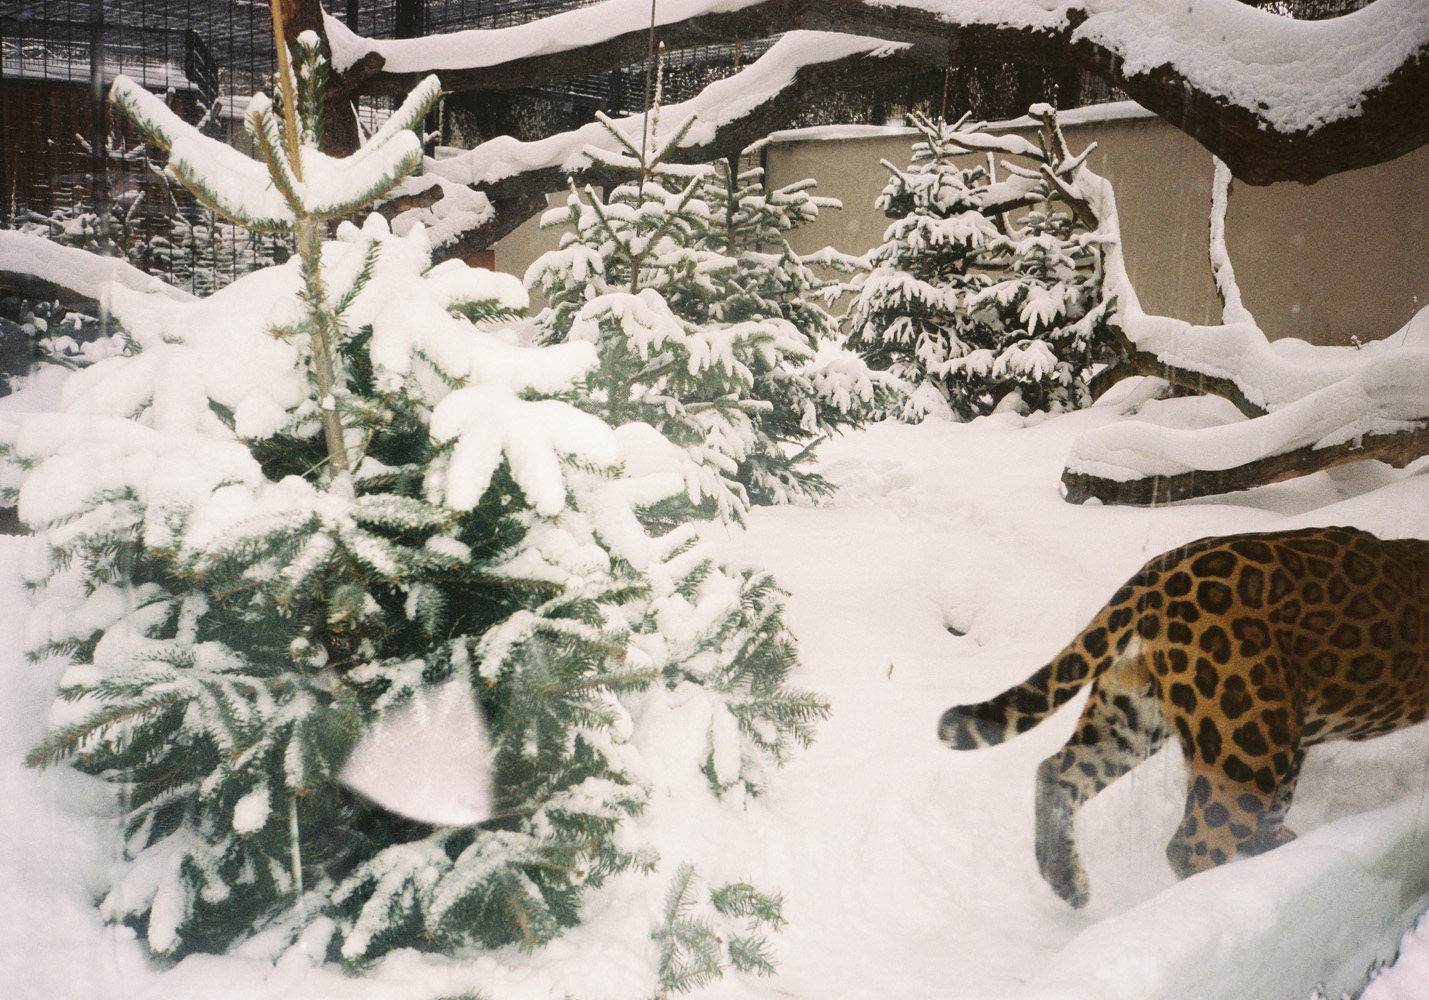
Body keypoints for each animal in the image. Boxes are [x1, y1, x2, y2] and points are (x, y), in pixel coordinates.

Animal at [938, 525, 1429, 909]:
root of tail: (1156, 577)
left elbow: (1282, 800)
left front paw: (1271, 845)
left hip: (1131, 718)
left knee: (1057, 773)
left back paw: (1068, 884)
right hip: (1246, 740)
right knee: (1190, 846)